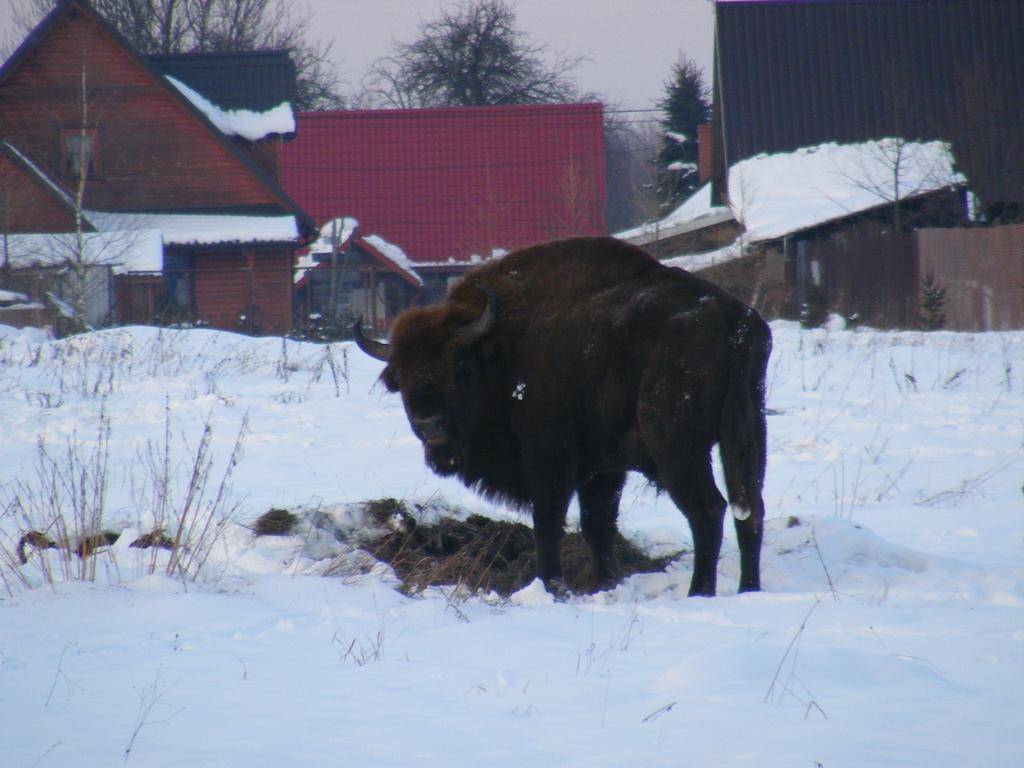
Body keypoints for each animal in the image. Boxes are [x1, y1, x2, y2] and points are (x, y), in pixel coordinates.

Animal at [356, 237, 770, 598]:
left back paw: (700, 592)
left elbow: (549, 524)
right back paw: (749, 589)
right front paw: (605, 584)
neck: (499, 349)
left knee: (708, 510)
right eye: (399, 375)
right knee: (749, 509)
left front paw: (551, 585)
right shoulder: (602, 469)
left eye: (458, 363)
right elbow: (597, 526)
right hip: (748, 433)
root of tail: (738, 321)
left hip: (677, 451)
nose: (430, 424)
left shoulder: (549, 461)